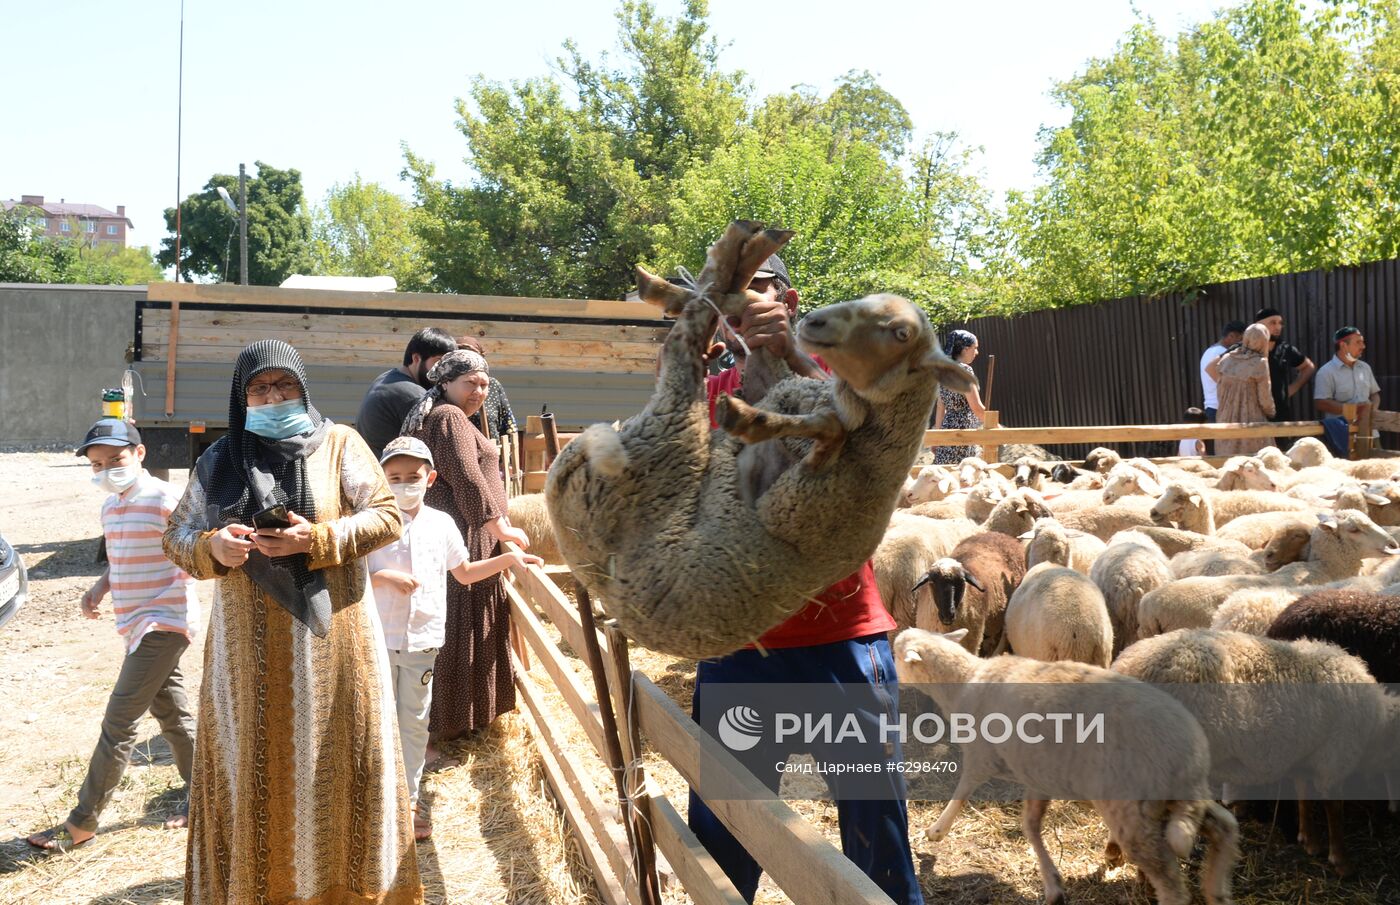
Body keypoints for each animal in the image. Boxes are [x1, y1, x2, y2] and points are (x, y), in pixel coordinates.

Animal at [543, 222, 974, 655]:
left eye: (901, 333)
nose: (814, 322)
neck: (882, 447)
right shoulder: (784, 392)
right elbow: (767, 351)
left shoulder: (805, 471)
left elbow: (824, 426)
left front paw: (748, 418)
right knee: (702, 310)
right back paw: (722, 263)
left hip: (667, 445)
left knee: (687, 340)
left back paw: (725, 256)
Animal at [896, 630, 1237, 905]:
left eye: (898, 653)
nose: (892, 678)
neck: (965, 681)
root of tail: (1188, 753)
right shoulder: (1037, 774)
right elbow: (1030, 826)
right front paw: (1053, 885)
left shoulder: (981, 757)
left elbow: (962, 791)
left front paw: (935, 831)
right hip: (1177, 798)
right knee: (1225, 826)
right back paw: (1217, 892)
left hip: (1134, 810)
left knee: (1172, 885)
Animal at [1114, 630, 1388, 879]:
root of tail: (1127, 664)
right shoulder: (1335, 756)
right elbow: (1334, 808)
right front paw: (1342, 861)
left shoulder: (1307, 755)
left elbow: (1304, 794)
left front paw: (1309, 840)